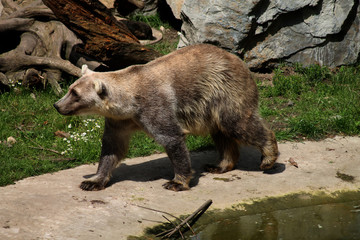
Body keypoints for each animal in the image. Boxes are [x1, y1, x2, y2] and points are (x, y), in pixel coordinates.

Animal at [53, 44, 278, 192]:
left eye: (75, 94)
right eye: (71, 88)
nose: (57, 105)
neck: (129, 104)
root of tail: (239, 60)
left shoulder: (154, 106)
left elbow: (171, 138)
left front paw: (176, 182)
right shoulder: (119, 122)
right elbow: (112, 148)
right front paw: (92, 181)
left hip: (225, 90)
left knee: (237, 123)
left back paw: (268, 158)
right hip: (210, 106)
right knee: (221, 134)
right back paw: (220, 164)